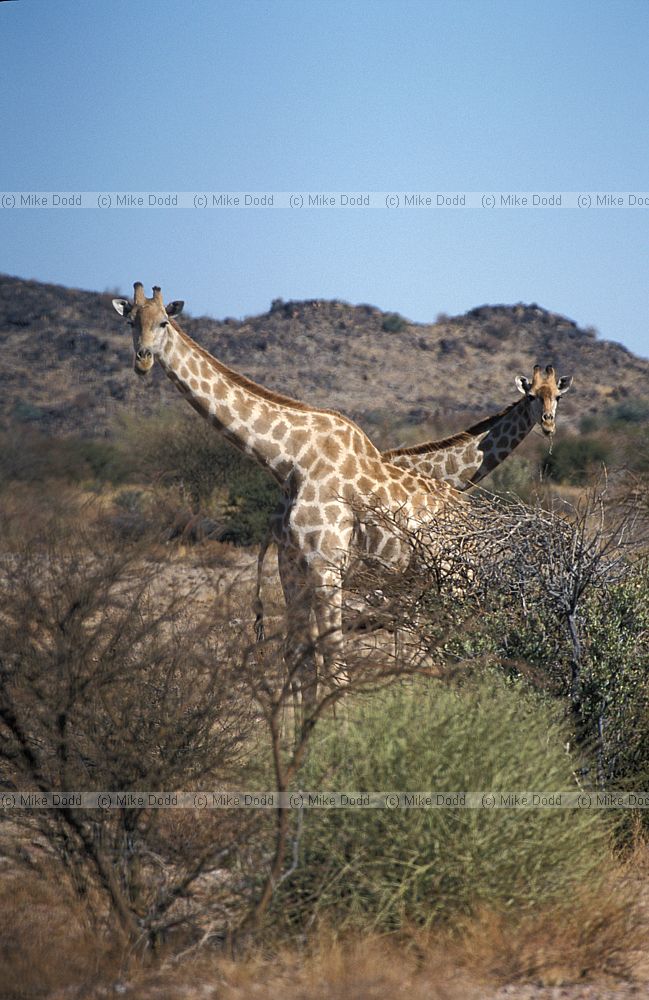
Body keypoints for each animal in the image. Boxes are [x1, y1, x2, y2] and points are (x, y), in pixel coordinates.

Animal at [111, 282, 456, 704]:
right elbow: (304, 664)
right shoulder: (292, 565)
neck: (290, 461)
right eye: (130, 321)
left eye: (164, 322)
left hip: (457, 579)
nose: (142, 360)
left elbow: (334, 666)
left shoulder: (326, 564)